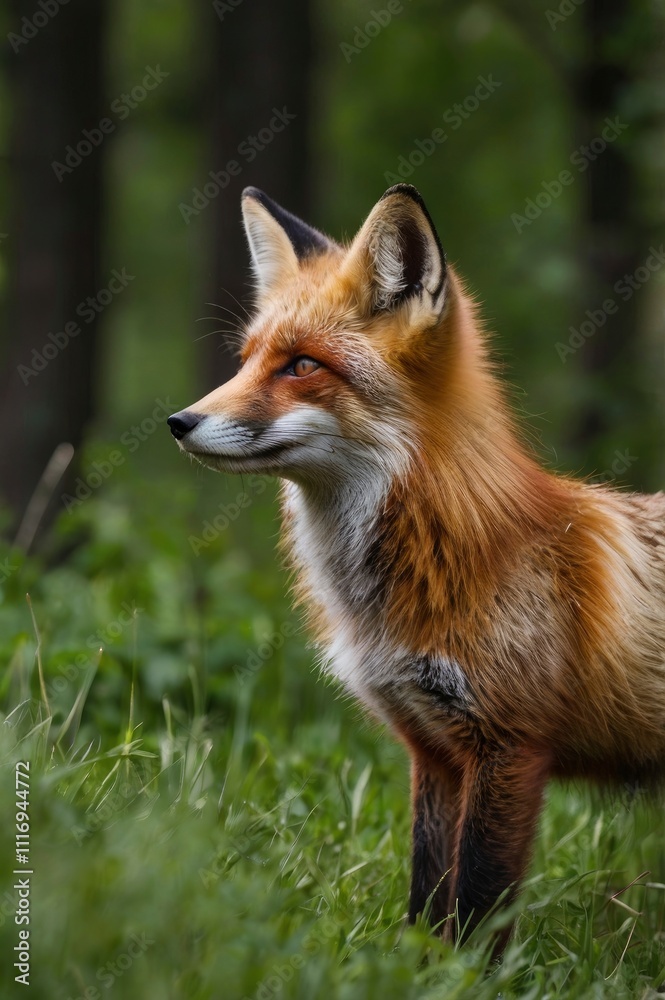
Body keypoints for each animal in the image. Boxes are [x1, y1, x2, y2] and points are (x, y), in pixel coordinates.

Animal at [168, 183, 665, 952]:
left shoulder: (509, 747)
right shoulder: (431, 749)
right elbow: (427, 895)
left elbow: (479, 899)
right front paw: (418, 965)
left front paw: (473, 972)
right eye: (246, 360)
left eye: (301, 365)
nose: (180, 422)